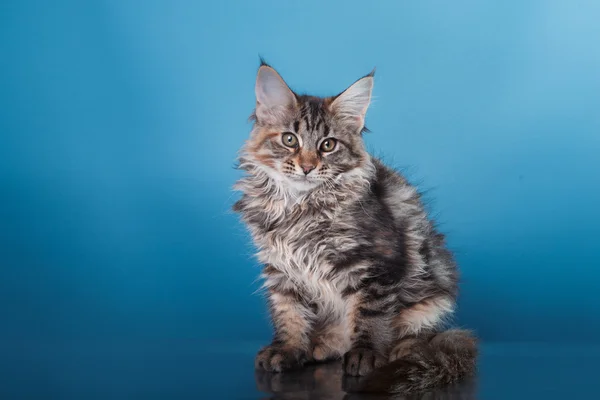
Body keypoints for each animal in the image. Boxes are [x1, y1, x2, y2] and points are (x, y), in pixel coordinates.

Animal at [233, 61, 478, 394]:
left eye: (328, 145)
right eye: (289, 140)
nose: (307, 166)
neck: (299, 207)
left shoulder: (374, 265)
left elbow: (370, 315)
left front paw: (365, 355)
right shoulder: (281, 268)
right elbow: (289, 312)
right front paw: (288, 348)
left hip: (433, 302)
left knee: (422, 335)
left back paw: (402, 350)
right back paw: (321, 346)